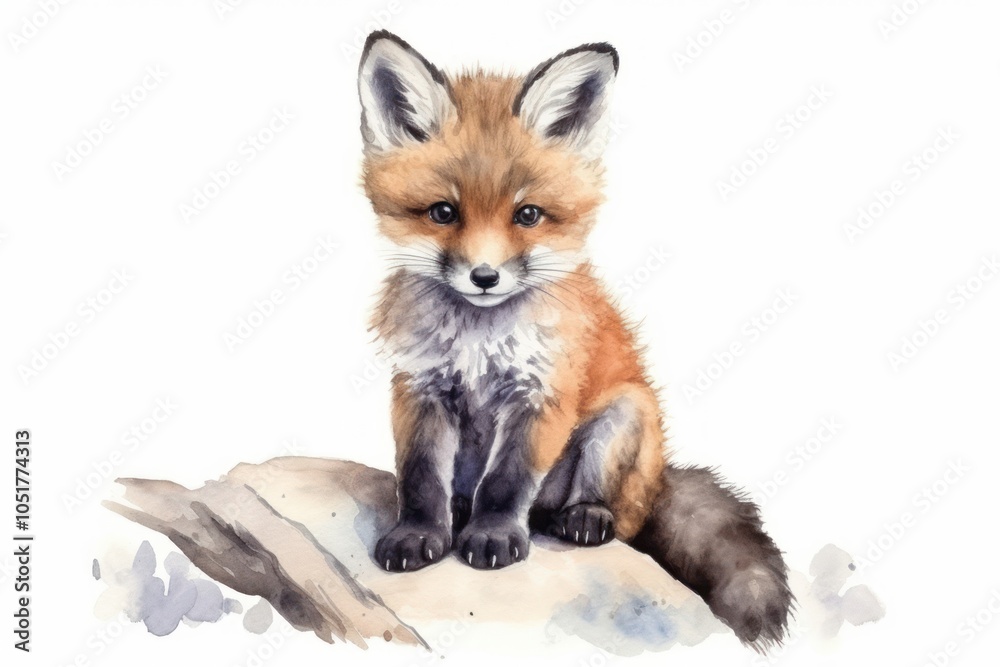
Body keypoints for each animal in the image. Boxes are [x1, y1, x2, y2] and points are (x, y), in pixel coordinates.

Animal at [357, 31, 793, 649]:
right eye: (443, 212)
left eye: (527, 214)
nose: (484, 277)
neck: (480, 340)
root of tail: (661, 481)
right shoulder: (420, 387)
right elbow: (418, 476)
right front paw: (419, 533)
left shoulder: (543, 394)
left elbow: (506, 481)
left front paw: (492, 535)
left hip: (624, 418)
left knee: (608, 515)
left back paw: (582, 517)